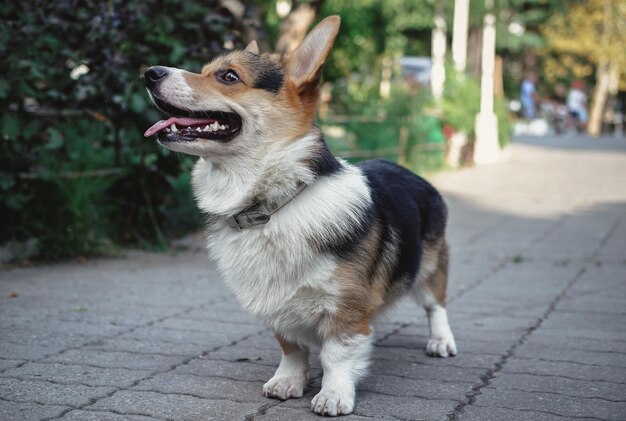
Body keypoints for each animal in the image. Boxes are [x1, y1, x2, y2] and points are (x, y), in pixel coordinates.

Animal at [143, 16, 454, 416]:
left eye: (228, 76)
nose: (150, 73)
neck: (272, 206)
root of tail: (410, 170)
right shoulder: (277, 304)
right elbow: (291, 348)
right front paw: (289, 381)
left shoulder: (346, 308)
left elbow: (338, 353)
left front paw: (334, 394)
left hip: (430, 266)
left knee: (436, 305)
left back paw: (441, 341)